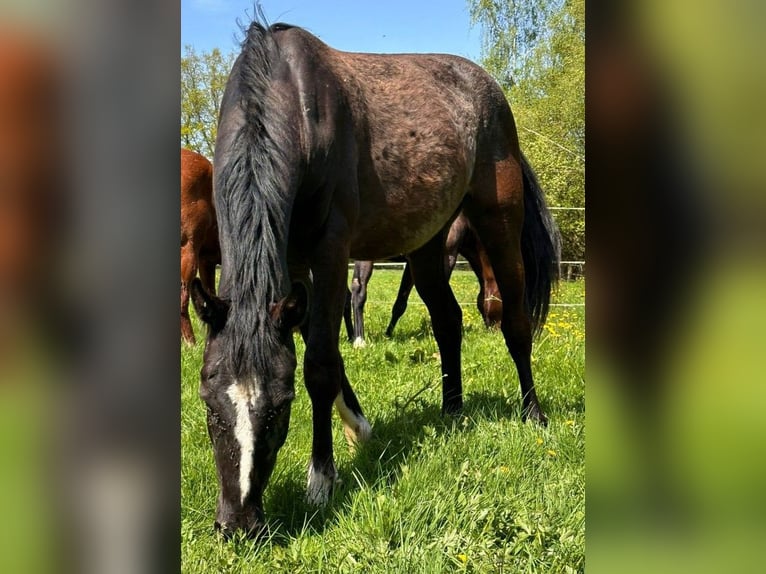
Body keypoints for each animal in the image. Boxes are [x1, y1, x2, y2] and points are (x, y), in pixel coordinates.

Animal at [189, 20, 560, 536]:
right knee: (448, 321)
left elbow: (320, 364)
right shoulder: (294, 264)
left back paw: (533, 414)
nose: (238, 522)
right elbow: (319, 344)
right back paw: (452, 411)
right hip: (429, 247)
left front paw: (322, 480)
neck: (293, 100)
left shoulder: (330, 253)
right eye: (208, 403)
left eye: (281, 407)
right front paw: (359, 427)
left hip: (499, 225)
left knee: (515, 323)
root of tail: (488, 88)